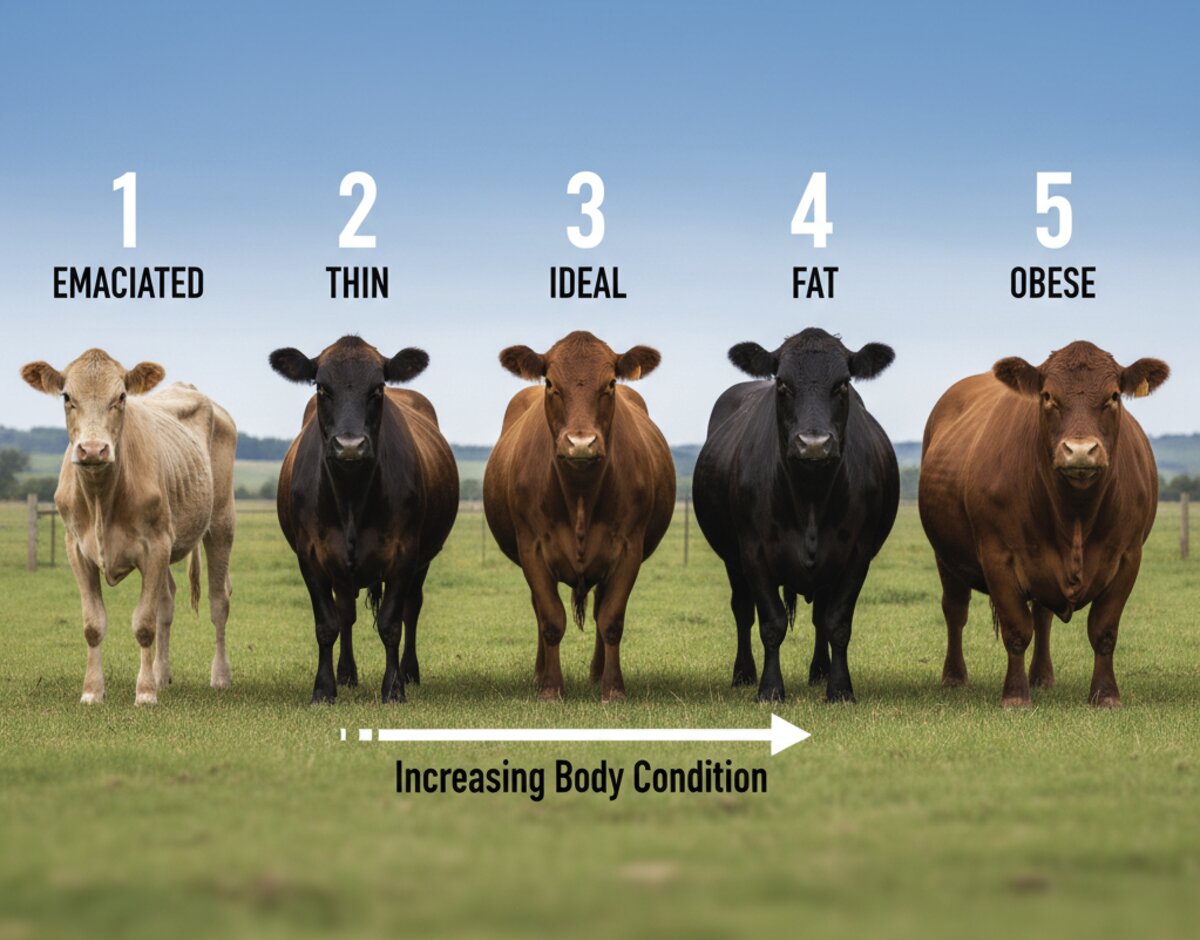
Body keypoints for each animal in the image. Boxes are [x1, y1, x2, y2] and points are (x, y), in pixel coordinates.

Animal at [21, 350, 236, 705]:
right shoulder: (76, 550)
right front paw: (92, 692)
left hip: (221, 522)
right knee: (167, 601)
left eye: (120, 396)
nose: (93, 449)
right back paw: (162, 674)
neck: (101, 499)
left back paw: (220, 676)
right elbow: (94, 624)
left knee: (219, 601)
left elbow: (144, 624)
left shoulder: (156, 546)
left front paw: (145, 693)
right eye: (67, 397)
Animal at [270, 335, 458, 704]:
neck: (351, 497)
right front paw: (323, 689)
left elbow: (391, 624)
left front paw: (394, 688)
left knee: (412, 607)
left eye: (378, 389)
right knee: (346, 613)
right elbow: (327, 624)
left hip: (422, 560)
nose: (349, 445)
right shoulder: (310, 555)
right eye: (322, 388)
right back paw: (346, 673)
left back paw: (409, 671)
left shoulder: (405, 553)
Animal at [483, 331, 675, 702]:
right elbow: (550, 619)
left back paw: (597, 672)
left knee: (600, 608)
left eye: (611, 383)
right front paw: (550, 687)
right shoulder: (532, 548)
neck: (580, 494)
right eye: (550, 383)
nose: (581, 443)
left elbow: (611, 619)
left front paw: (612, 688)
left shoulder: (628, 548)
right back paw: (539, 672)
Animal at [693, 328, 899, 703]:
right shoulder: (753, 553)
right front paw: (770, 688)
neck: (810, 499)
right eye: (783, 385)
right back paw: (743, 673)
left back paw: (819, 671)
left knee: (819, 617)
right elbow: (771, 623)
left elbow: (837, 623)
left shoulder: (856, 555)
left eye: (842, 385)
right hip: (732, 560)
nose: (813, 443)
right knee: (742, 610)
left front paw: (840, 688)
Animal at [918, 341, 1169, 707]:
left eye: (1113, 396)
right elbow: (1016, 630)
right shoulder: (998, 556)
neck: (1075, 515)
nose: (1080, 451)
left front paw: (1106, 695)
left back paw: (1042, 677)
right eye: (1048, 396)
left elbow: (1104, 630)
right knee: (955, 610)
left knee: (1042, 615)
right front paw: (1015, 696)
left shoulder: (1127, 556)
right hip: (945, 557)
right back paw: (954, 677)